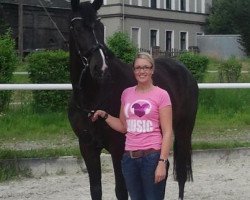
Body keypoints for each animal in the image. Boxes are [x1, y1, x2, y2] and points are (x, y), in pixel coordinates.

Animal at [67, 0, 198, 199]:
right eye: (77, 28)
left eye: (100, 27)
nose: (101, 68)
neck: (92, 96)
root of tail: (184, 70)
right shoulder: (87, 147)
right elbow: (95, 189)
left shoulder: (118, 148)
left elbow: (121, 190)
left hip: (183, 130)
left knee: (181, 174)